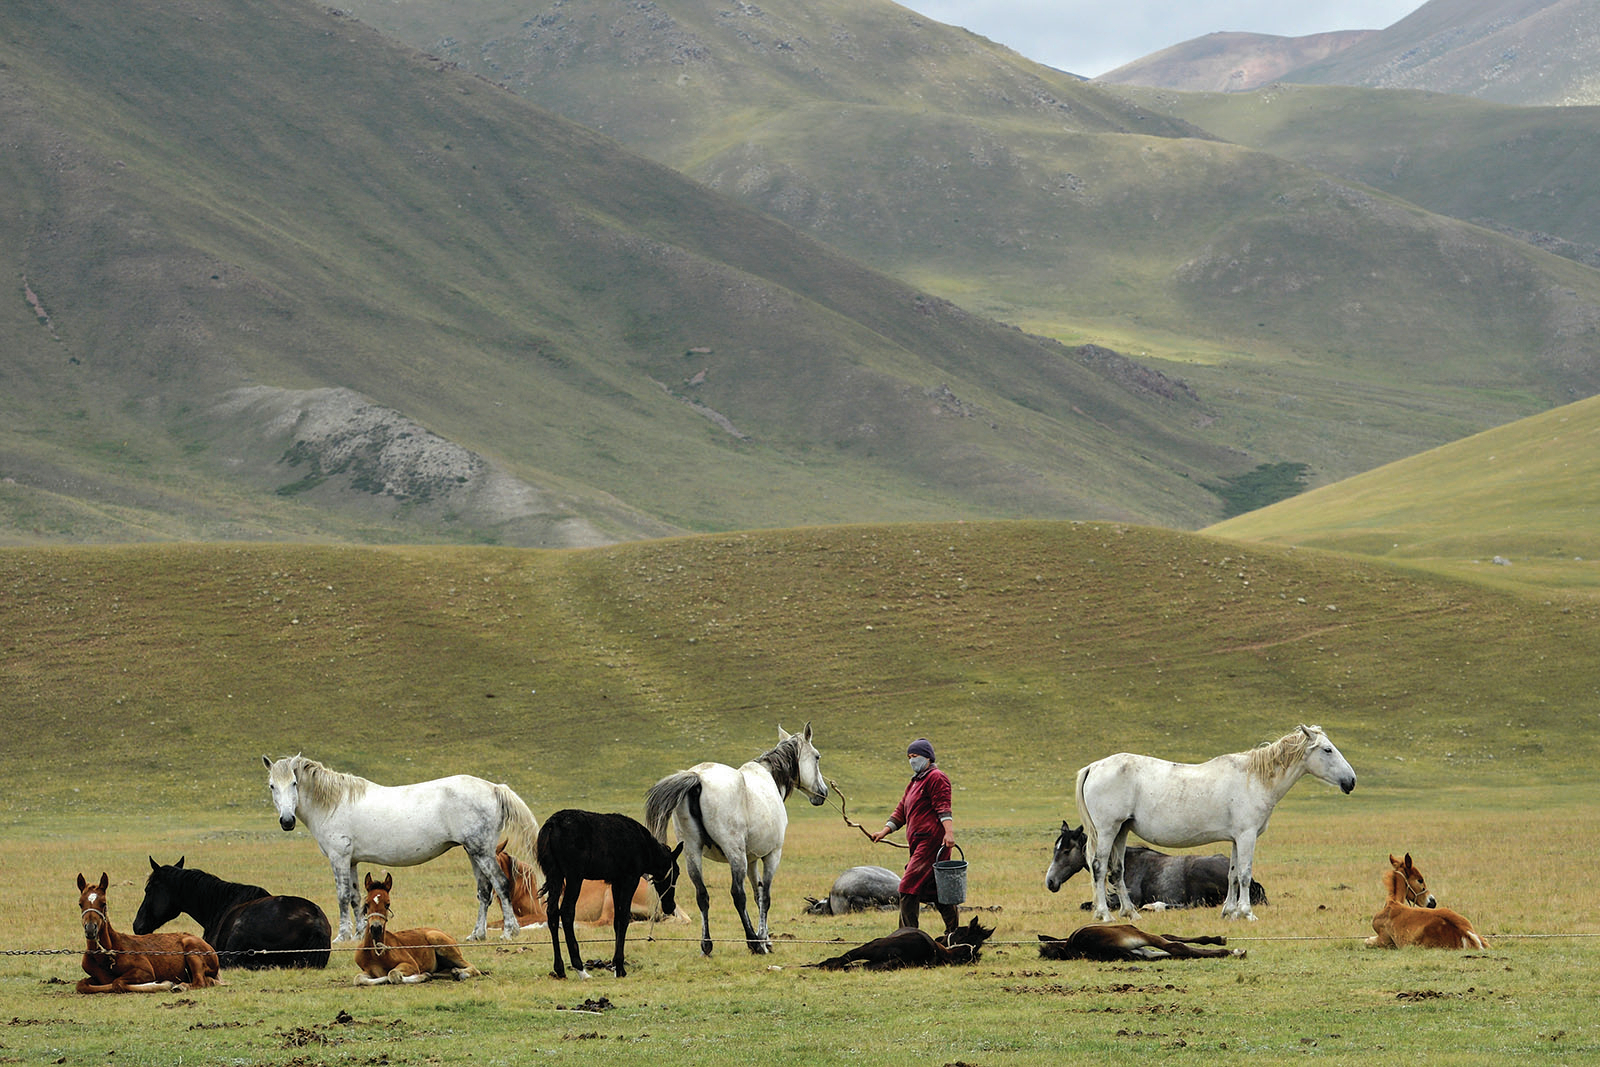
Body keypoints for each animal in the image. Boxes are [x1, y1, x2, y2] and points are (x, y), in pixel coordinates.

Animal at [76, 872, 221, 993]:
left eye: (103, 903)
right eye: (80, 904)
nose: (90, 929)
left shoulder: (145, 970)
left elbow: (117, 983)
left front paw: (164, 984)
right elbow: (82, 985)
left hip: (192, 951)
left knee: (200, 982)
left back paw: (180, 986)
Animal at [263, 754, 539, 942]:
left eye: (294, 783)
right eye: (272, 785)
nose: (287, 821)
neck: (334, 803)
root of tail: (494, 788)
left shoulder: (338, 858)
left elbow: (342, 897)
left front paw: (342, 936)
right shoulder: (351, 861)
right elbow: (355, 898)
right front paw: (359, 934)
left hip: (481, 851)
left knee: (501, 885)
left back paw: (509, 931)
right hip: (474, 852)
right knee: (484, 892)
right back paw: (476, 934)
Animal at [536, 809, 683, 979]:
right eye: (677, 872)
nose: (670, 906)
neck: (644, 845)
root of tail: (551, 825)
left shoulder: (616, 882)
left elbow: (616, 921)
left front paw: (614, 965)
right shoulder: (630, 879)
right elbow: (624, 917)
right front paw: (619, 967)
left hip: (556, 875)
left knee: (552, 913)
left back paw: (559, 969)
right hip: (574, 877)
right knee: (566, 912)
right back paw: (580, 969)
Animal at [644, 723, 828, 956]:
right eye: (817, 757)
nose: (823, 792)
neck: (769, 777)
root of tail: (698, 778)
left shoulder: (752, 860)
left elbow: (758, 894)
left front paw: (765, 939)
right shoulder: (771, 855)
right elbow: (765, 898)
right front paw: (762, 940)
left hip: (692, 852)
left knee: (702, 895)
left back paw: (707, 945)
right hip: (735, 854)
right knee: (737, 895)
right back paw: (752, 942)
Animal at [1075, 724, 1355, 922]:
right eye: (1327, 749)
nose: (1351, 781)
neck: (1254, 779)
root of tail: (1094, 766)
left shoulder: (1236, 839)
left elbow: (1232, 875)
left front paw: (1229, 912)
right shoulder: (1246, 836)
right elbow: (1244, 874)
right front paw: (1246, 913)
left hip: (1121, 831)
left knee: (1117, 870)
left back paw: (1130, 913)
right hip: (1108, 830)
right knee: (1100, 868)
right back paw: (1105, 914)